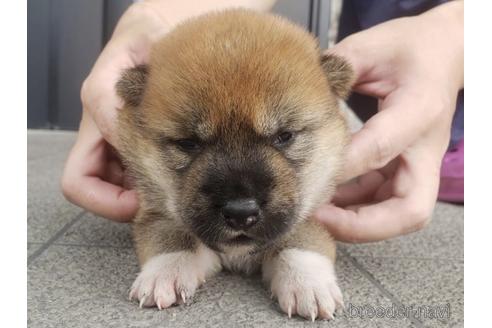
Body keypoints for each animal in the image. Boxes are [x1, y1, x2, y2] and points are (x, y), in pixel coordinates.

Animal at [116, 8, 354, 320]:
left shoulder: (312, 210)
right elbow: (170, 234)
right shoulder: (154, 210)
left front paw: (307, 283)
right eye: (188, 143)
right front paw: (165, 272)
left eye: (284, 136)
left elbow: (300, 237)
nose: (241, 213)